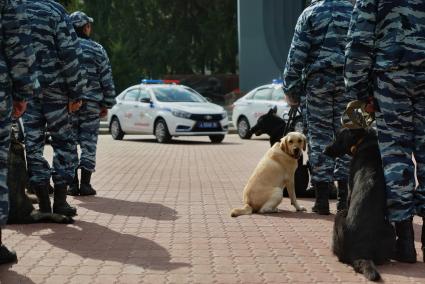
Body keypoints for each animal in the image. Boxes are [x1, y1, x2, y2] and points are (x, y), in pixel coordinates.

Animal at [324, 127, 394, 280]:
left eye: (338, 138)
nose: (324, 150)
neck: (364, 141)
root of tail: (361, 251)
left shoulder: (349, 192)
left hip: (341, 215)